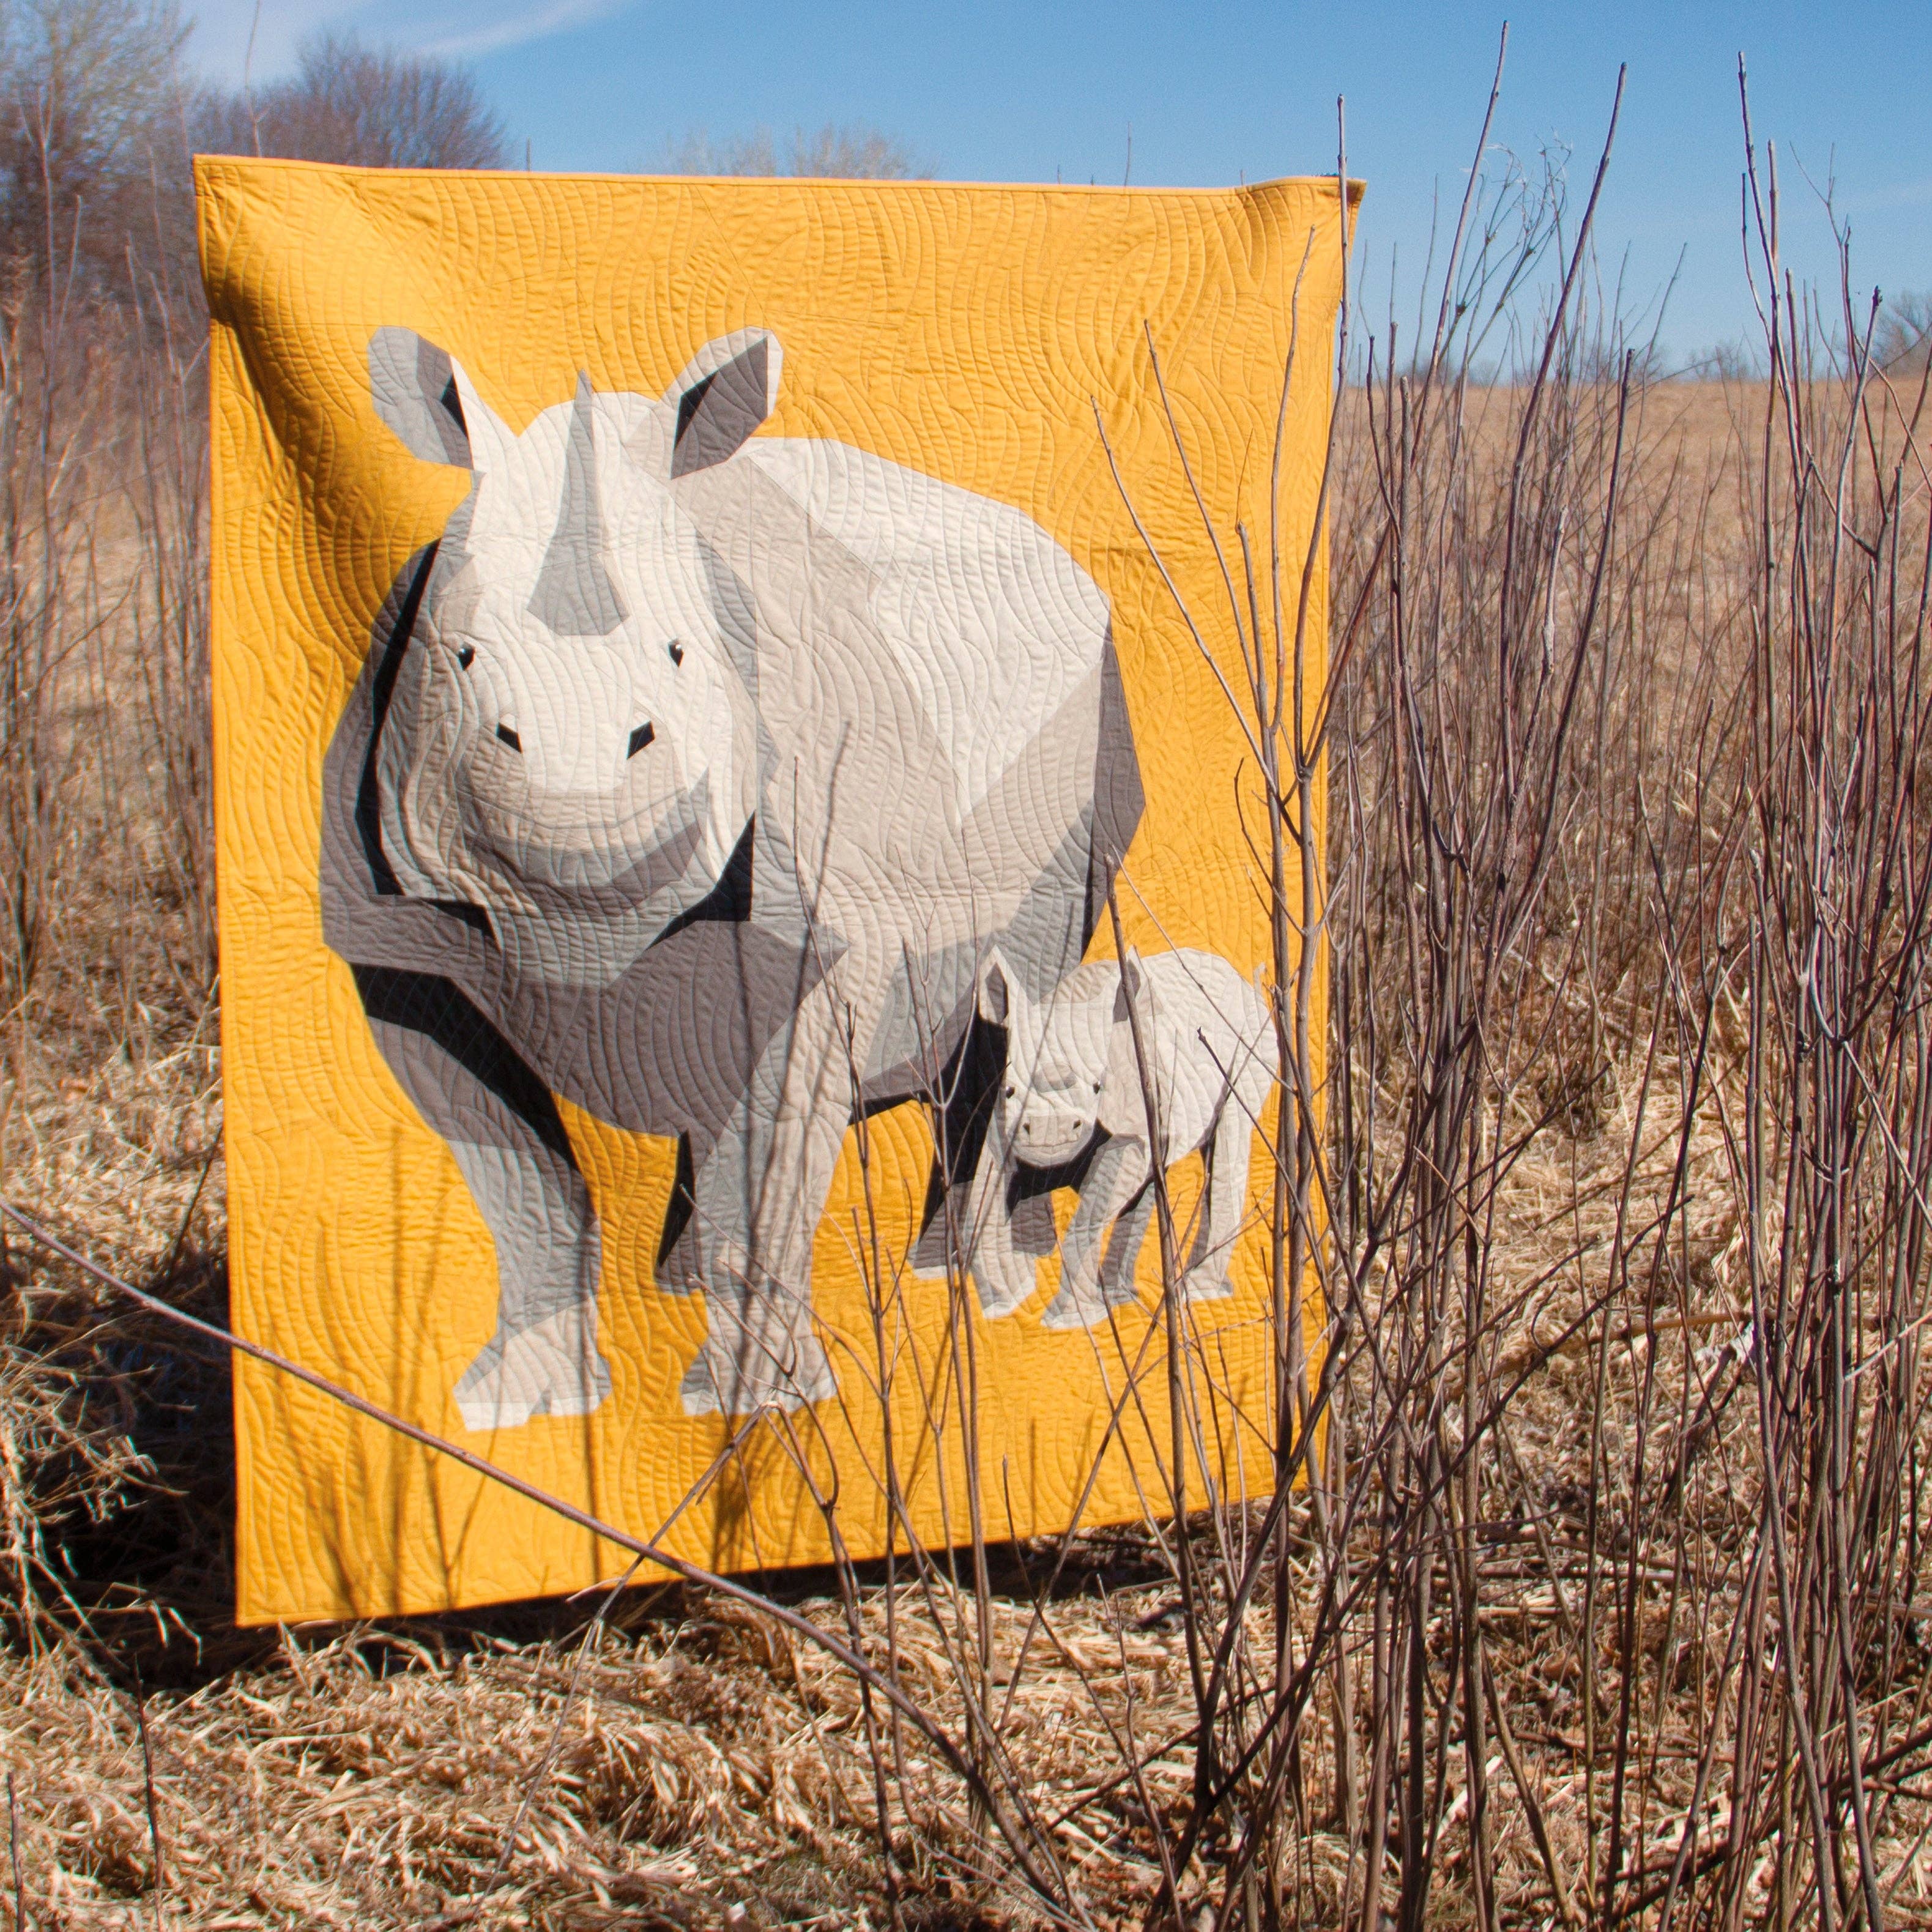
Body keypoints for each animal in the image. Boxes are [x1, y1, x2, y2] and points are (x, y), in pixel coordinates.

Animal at [321, 326, 1143, 1424]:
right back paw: (679, 1284)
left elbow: (766, 1170)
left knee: (1017, 997)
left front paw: (761, 1402)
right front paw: (522, 1402)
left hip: (1086, 724)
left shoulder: (820, 945)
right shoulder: (401, 951)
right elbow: (521, 1180)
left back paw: (959, 1278)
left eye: (680, 655)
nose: (581, 805)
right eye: (458, 658)